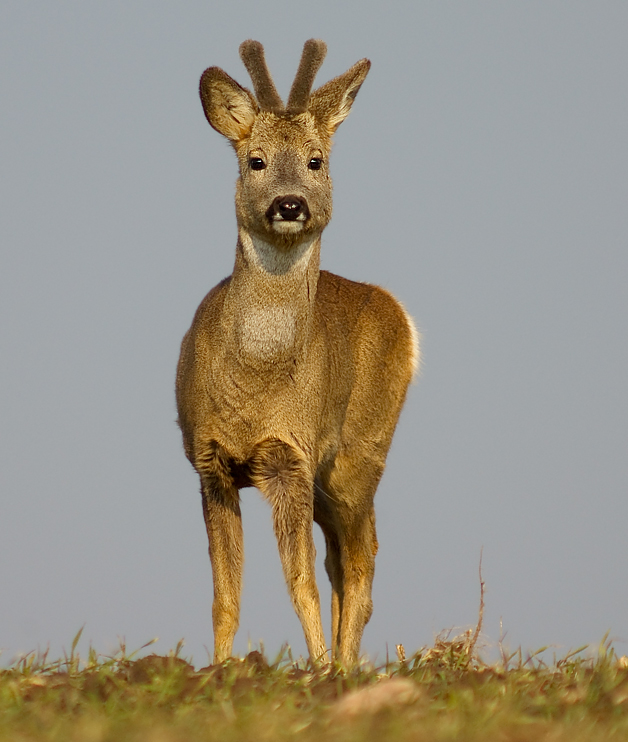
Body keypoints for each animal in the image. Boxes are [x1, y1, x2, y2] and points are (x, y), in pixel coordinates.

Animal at [175, 39, 418, 668]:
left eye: (315, 160)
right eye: (255, 161)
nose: (289, 205)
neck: (254, 383)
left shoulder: (292, 454)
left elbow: (299, 580)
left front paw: (318, 670)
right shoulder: (210, 462)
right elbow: (226, 592)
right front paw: (220, 669)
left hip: (361, 452)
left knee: (359, 563)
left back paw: (347, 666)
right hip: (332, 480)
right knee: (344, 558)